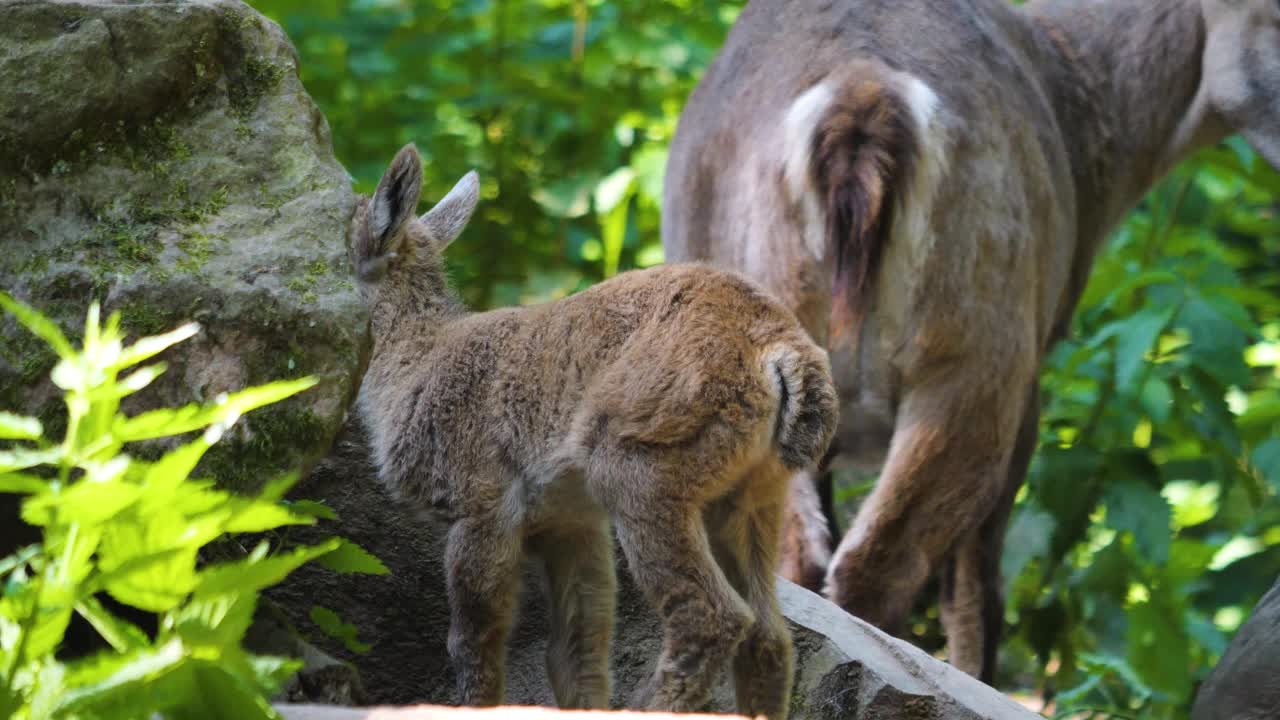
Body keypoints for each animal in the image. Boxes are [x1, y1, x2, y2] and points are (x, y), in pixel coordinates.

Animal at [348, 141, 839, 717]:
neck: (412, 364)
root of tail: (782, 350)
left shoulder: (481, 505)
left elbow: (475, 641)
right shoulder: (570, 521)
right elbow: (578, 646)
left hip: (640, 468)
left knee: (713, 615)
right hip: (752, 497)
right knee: (769, 637)